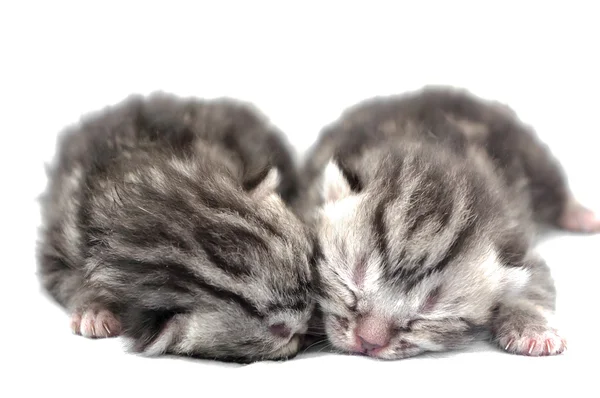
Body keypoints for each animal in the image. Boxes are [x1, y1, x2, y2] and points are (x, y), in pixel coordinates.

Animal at [36, 91, 318, 362]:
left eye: (306, 275)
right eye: (281, 331)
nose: (307, 327)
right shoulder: (59, 242)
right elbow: (68, 281)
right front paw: (92, 309)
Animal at [302, 85, 596, 360]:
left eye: (425, 317)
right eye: (349, 285)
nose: (369, 342)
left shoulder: (516, 238)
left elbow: (534, 283)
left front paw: (533, 329)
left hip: (532, 157)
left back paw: (580, 215)